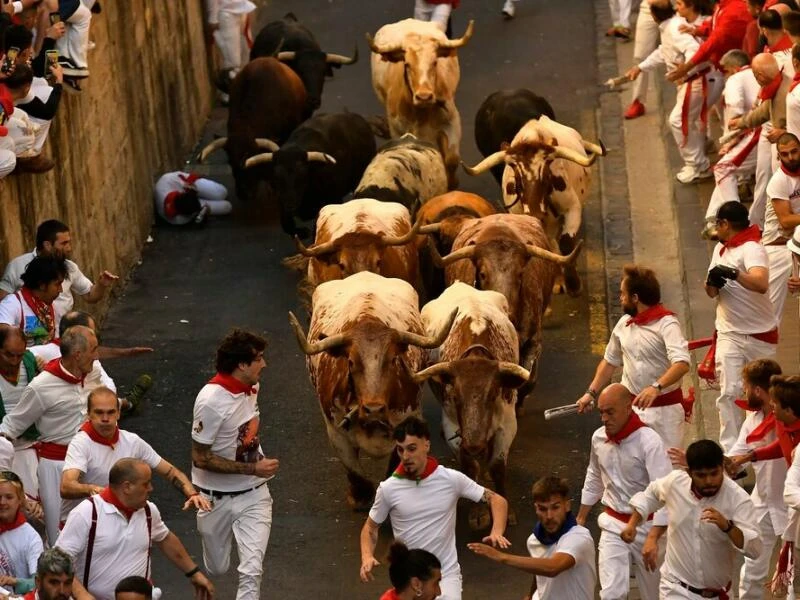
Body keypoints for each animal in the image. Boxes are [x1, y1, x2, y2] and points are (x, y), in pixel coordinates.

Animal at [288, 272, 454, 506]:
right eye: (350, 362)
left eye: (393, 360)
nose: (374, 409)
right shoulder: (337, 433)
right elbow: (356, 472)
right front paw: (359, 497)